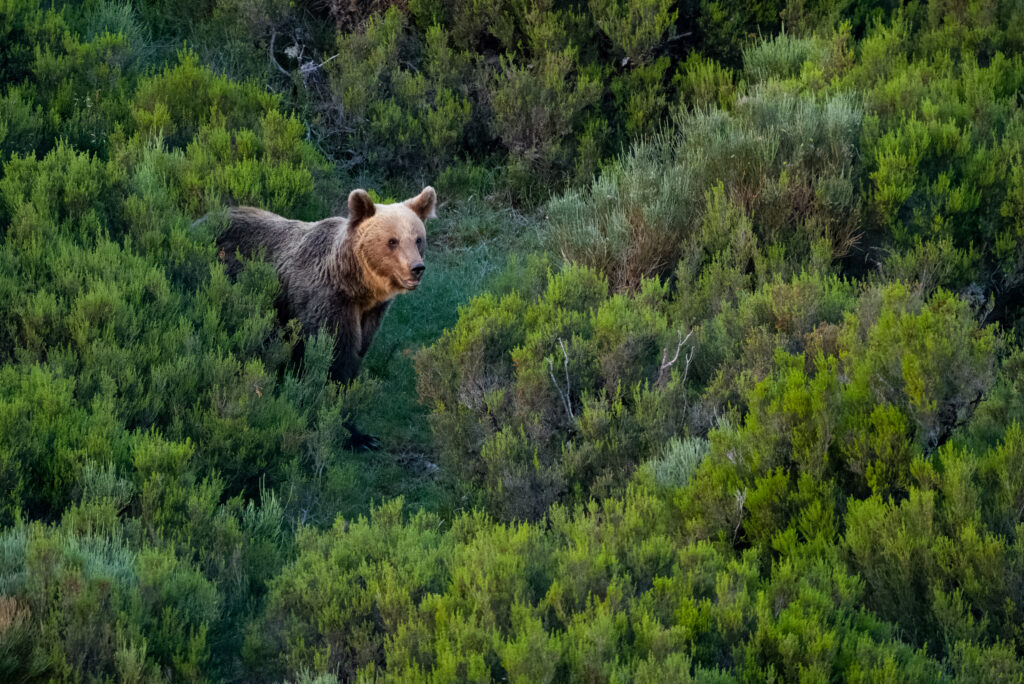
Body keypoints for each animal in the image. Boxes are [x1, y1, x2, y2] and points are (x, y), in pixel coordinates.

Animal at [213, 186, 437, 448]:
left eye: (418, 239)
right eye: (392, 241)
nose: (416, 268)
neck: (354, 286)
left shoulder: (369, 314)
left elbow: (355, 357)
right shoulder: (326, 303)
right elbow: (333, 358)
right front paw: (350, 433)